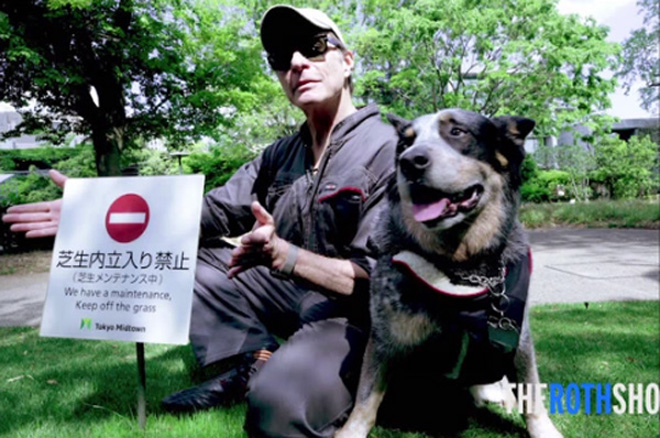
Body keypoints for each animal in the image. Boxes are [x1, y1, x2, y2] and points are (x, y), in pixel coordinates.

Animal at [335, 109, 562, 438]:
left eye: (457, 131)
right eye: (405, 143)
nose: (410, 161)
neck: (461, 267)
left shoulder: (519, 338)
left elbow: (531, 394)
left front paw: (544, 429)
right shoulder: (385, 337)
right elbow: (366, 398)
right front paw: (351, 430)